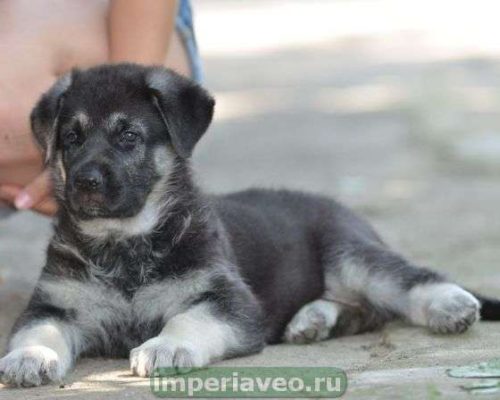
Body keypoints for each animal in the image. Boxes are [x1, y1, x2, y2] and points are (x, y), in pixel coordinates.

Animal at [1, 64, 499, 387]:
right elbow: (37, 331)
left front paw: (166, 347)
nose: (85, 182)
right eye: (71, 138)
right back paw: (313, 319)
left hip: (350, 254)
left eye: (128, 136)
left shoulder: (228, 302)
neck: (125, 242)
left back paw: (451, 303)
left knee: (405, 280)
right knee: (368, 311)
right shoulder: (54, 306)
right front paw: (27, 357)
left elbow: (188, 318)